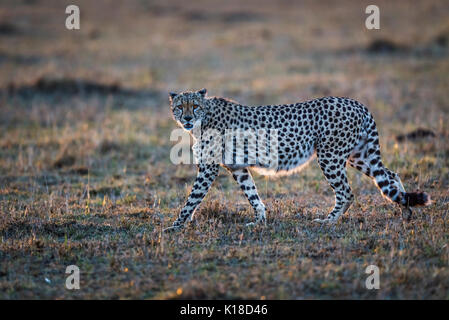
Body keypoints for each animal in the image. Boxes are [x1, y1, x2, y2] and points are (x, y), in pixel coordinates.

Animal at [163, 89, 428, 231]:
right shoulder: (238, 167)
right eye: (180, 107)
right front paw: (260, 221)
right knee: (390, 175)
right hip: (359, 155)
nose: (187, 118)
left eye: (195, 106)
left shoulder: (208, 168)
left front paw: (175, 226)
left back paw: (328, 221)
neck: (204, 117)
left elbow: (192, 199)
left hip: (330, 156)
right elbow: (253, 195)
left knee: (346, 192)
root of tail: (356, 103)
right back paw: (406, 210)